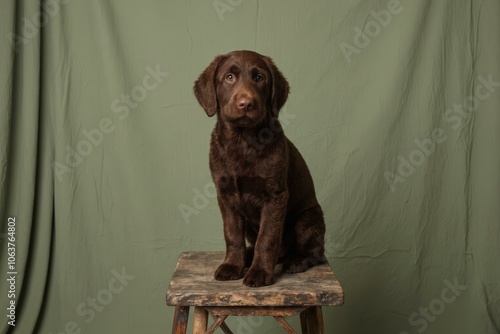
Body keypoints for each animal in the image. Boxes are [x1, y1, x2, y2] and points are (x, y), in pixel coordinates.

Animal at [193, 50, 326, 288]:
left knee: (315, 253)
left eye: (259, 78)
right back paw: (248, 256)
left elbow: (268, 237)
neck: (242, 141)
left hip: (307, 219)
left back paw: (296, 261)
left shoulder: (275, 195)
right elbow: (232, 234)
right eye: (229, 77)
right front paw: (232, 265)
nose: (246, 104)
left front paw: (260, 272)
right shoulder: (225, 195)